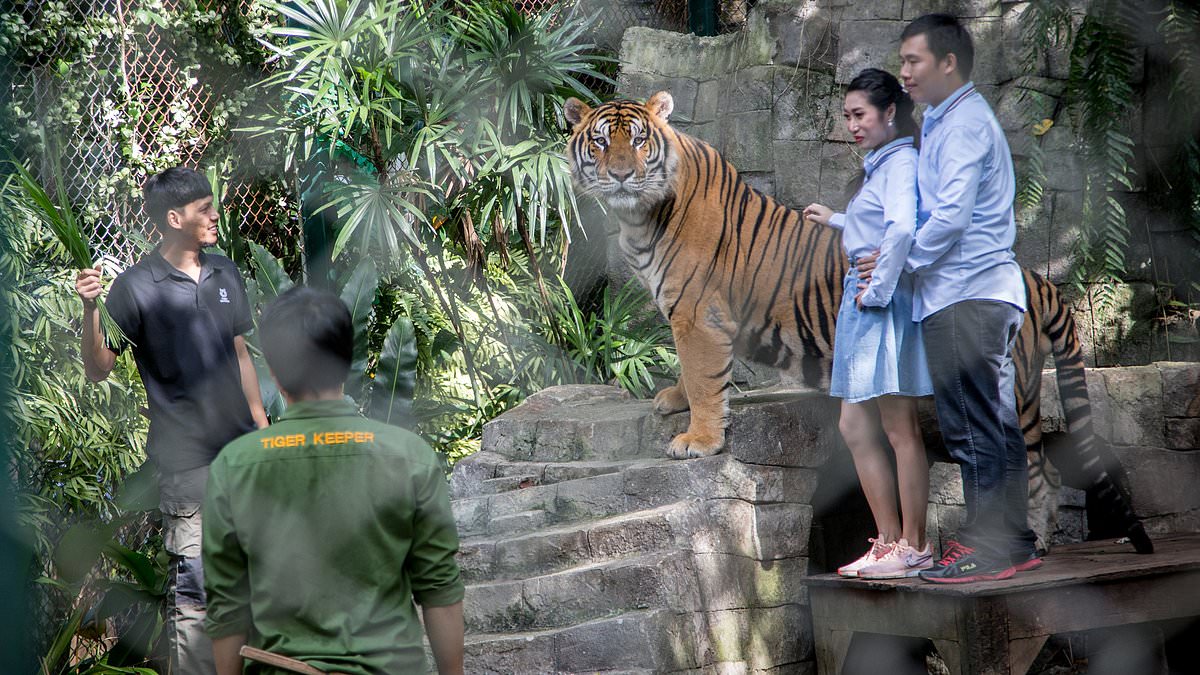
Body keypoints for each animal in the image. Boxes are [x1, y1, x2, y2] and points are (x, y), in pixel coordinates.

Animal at [563, 91, 1152, 553]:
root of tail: (1034, 278)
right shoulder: (688, 318)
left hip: (1010, 389)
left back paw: (1032, 542)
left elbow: (708, 379)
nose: (621, 174)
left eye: (639, 141)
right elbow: (694, 374)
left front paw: (698, 441)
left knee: (1031, 467)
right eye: (601, 143)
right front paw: (673, 399)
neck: (639, 218)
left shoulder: (699, 316)